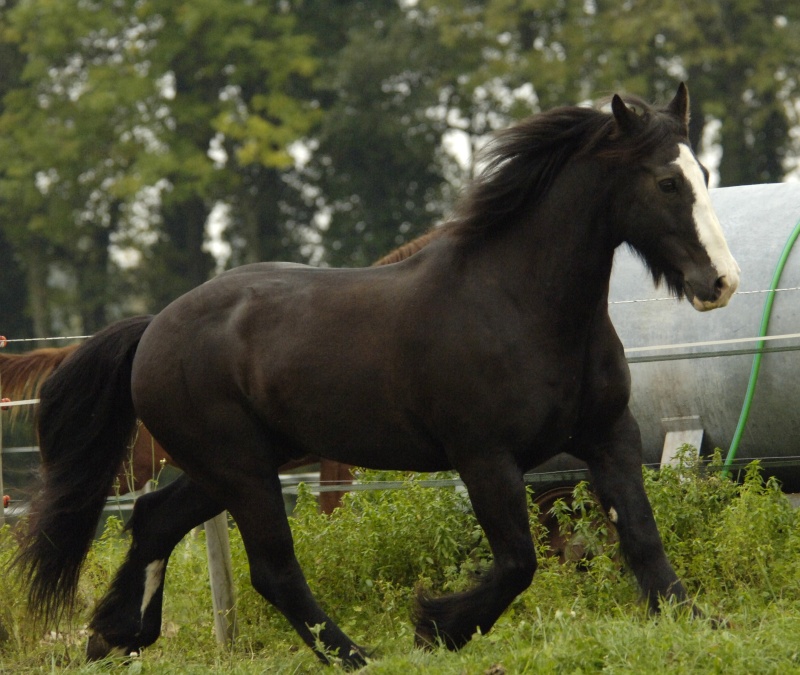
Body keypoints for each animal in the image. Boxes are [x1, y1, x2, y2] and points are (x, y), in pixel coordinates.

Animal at [15, 83, 736, 664]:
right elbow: (518, 562)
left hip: (231, 465)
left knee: (155, 519)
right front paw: (435, 625)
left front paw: (701, 624)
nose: (721, 283)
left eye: (703, 172)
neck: (519, 306)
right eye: (666, 182)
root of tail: (153, 327)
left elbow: (642, 539)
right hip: (241, 469)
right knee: (273, 569)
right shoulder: (485, 458)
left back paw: (115, 635)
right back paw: (354, 655)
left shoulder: (609, 436)